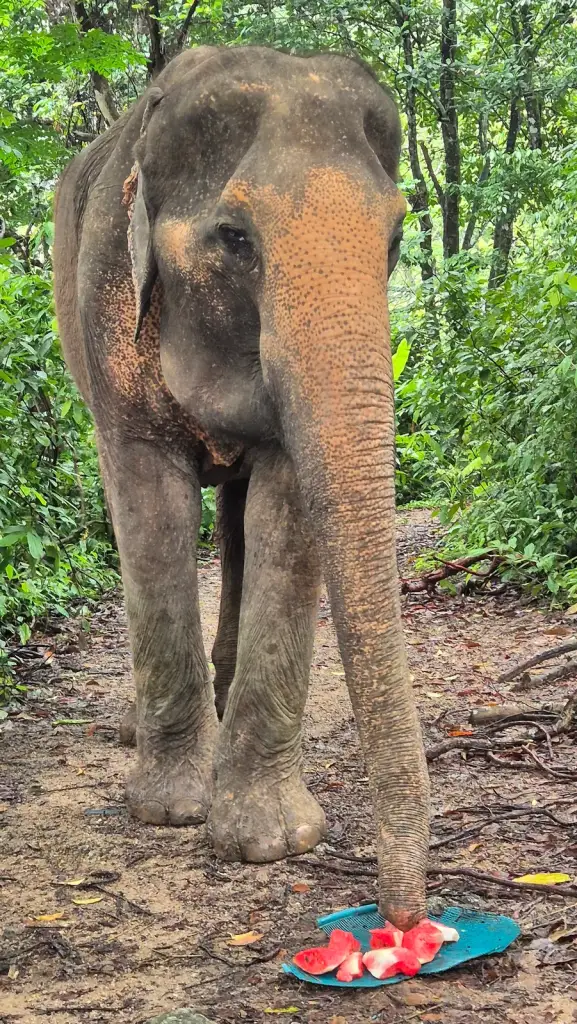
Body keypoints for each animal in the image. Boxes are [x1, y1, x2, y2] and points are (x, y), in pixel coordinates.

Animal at [53, 44, 430, 929]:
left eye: (397, 236)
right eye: (234, 238)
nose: (403, 920)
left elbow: (284, 519)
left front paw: (269, 842)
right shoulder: (107, 305)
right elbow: (149, 508)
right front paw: (169, 812)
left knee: (231, 518)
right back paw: (137, 730)